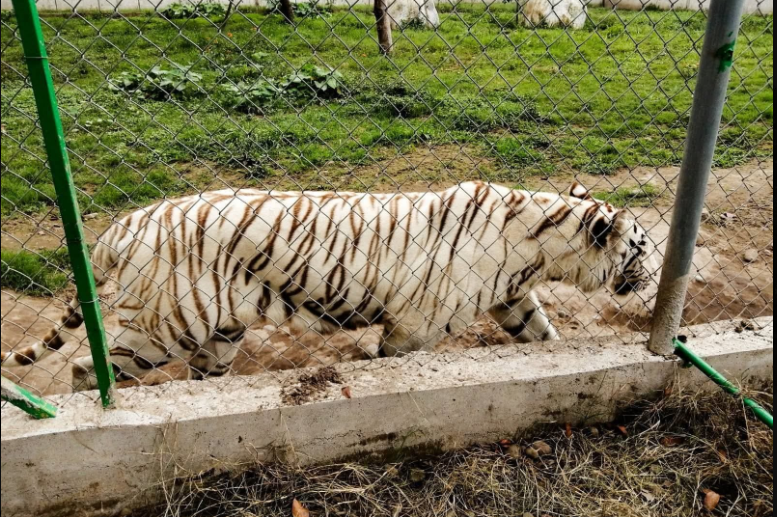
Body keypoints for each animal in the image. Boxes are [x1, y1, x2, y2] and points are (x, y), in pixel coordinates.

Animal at [1, 182, 657, 390]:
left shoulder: (512, 297)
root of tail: (125, 222)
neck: (541, 247)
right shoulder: (415, 326)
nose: (653, 276)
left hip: (219, 331)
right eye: (643, 247)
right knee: (87, 369)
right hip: (165, 325)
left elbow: (542, 337)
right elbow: (393, 361)